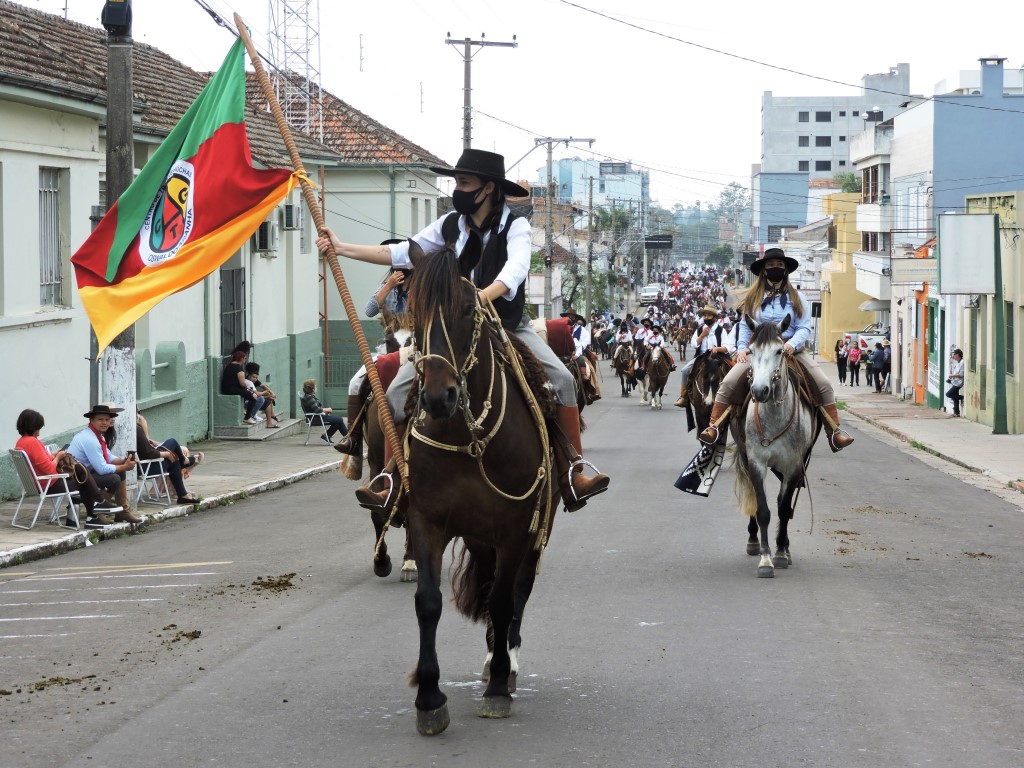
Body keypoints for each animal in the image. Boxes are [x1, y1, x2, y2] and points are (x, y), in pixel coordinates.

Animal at [403, 243, 557, 737]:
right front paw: (429, 698)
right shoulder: (426, 520)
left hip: (532, 532)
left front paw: (496, 689)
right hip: (477, 535)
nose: (438, 397)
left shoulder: (515, 528)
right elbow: (428, 603)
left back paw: (504, 665)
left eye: (469, 310)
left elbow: (505, 601)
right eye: (413, 311)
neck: (465, 437)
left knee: (516, 592)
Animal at [733, 317, 819, 577]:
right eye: (751, 351)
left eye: (780, 350)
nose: (760, 391)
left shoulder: (793, 466)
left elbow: (783, 508)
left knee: (786, 503)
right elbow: (763, 510)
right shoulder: (756, 463)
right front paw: (765, 559)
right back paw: (754, 542)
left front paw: (780, 553)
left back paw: (786, 549)